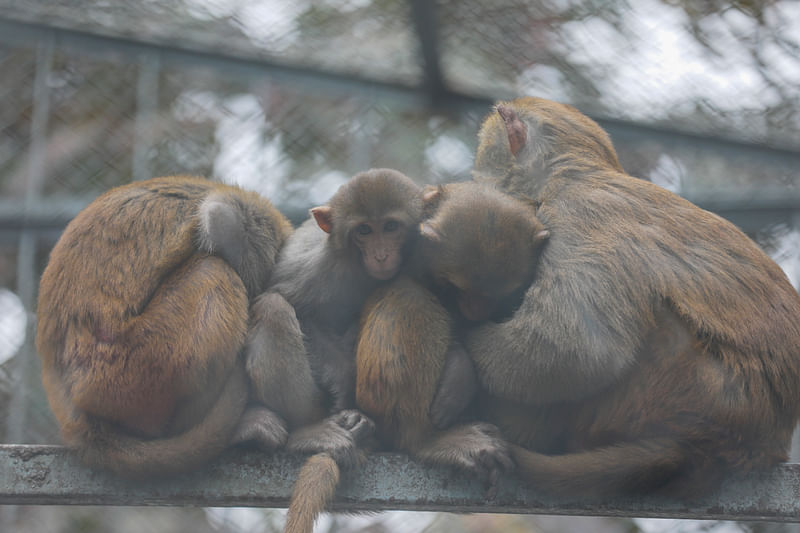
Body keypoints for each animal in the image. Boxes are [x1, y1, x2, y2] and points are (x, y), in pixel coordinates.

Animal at [356, 182, 552, 498]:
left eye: (498, 294)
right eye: (462, 289)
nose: (476, 311)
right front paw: (461, 367)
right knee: (409, 297)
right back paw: (425, 439)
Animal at [428, 96, 800, 498]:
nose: (478, 180)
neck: (574, 172)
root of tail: (750, 446)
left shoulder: (575, 214)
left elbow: (577, 350)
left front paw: (463, 348)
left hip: (677, 387)